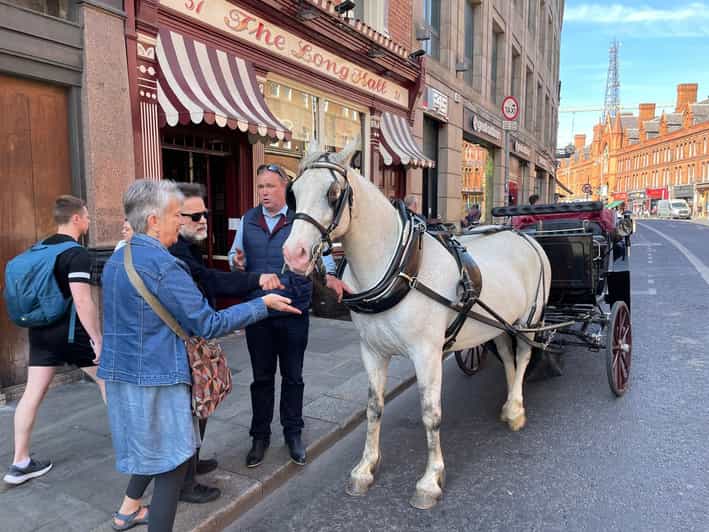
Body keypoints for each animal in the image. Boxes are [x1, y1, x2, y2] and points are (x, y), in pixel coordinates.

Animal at [282, 140, 551, 510]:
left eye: (333, 193)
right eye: (292, 193)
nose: (293, 253)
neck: (400, 267)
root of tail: (526, 237)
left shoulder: (427, 353)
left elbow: (431, 414)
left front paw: (430, 480)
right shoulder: (372, 350)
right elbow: (373, 408)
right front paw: (365, 468)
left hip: (529, 320)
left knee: (523, 356)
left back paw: (517, 409)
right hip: (498, 323)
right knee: (508, 357)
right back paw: (509, 403)